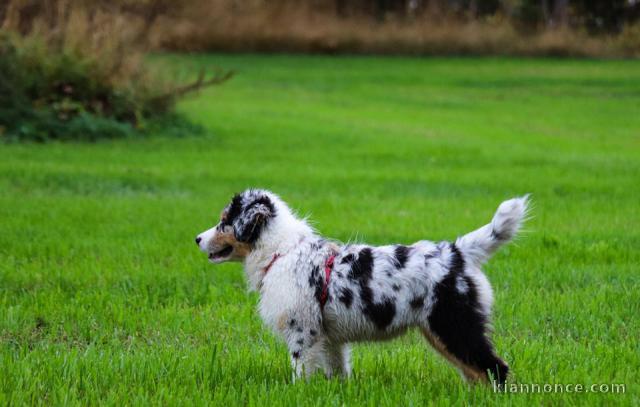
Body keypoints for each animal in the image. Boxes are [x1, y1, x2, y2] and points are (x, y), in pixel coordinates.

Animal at [196, 190, 528, 384]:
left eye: (225, 221)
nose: (197, 238)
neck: (282, 250)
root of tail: (458, 252)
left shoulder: (302, 329)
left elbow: (300, 369)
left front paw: (298, 392)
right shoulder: (329, 337)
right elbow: (337, 370)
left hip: (454, 324)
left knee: (494, 367)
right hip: (441, 331)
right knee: (475, 371)